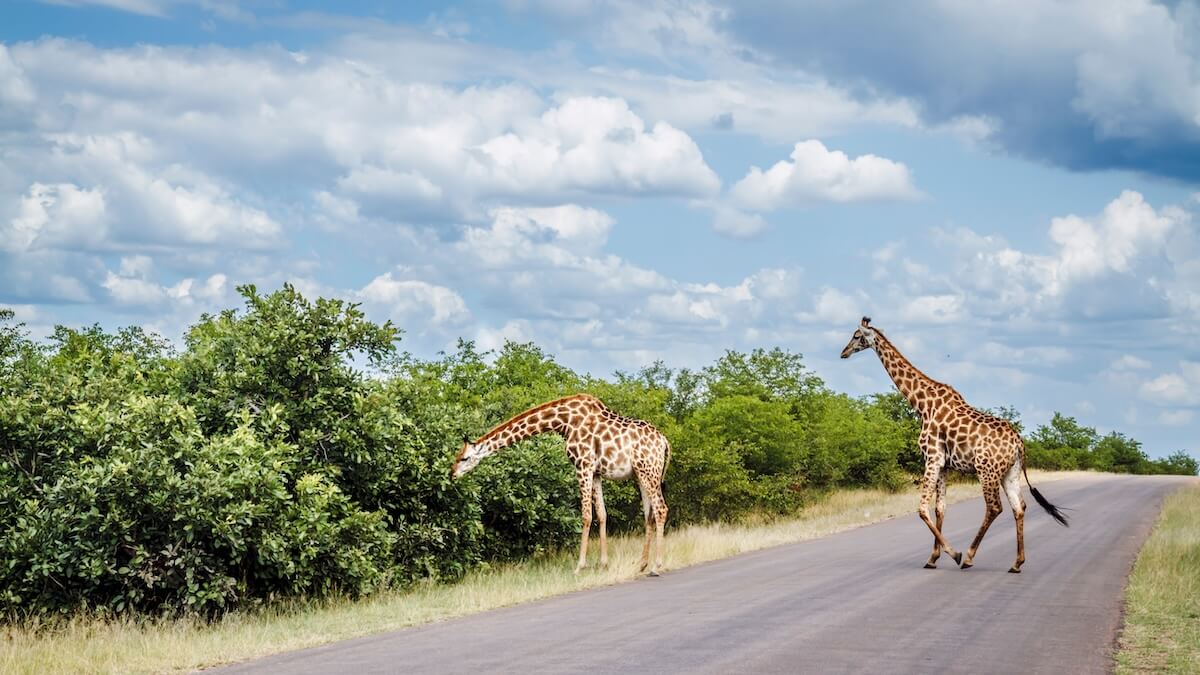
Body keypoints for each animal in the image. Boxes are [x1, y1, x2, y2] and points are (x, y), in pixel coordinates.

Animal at [451, 394, 671, 576]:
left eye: (464, 458)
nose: (452, 474)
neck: (563, 422)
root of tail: (664, 442)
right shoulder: (596, 472)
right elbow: (601, 514)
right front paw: (603, 564)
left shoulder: (583, 466)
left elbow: (586, 515)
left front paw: (579, 566)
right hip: (641, 474)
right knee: (649, 514)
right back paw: (641, 565)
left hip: (648, 471)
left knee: (661, 509)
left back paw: (656, 566)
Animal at [840, 317, 1068, 572]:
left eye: (857, 336)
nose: (843, 352)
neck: (922, 404)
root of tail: (1019, 444)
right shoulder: (944, 464)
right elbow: (940, 508)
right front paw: (932, 558)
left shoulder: (932, 458)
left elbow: (922, 508)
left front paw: (953, 553)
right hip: (1010, 472)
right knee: (1019, 507)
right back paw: (1017, 563)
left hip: (986, 470)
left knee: (995, 507)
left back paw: (968, 556)